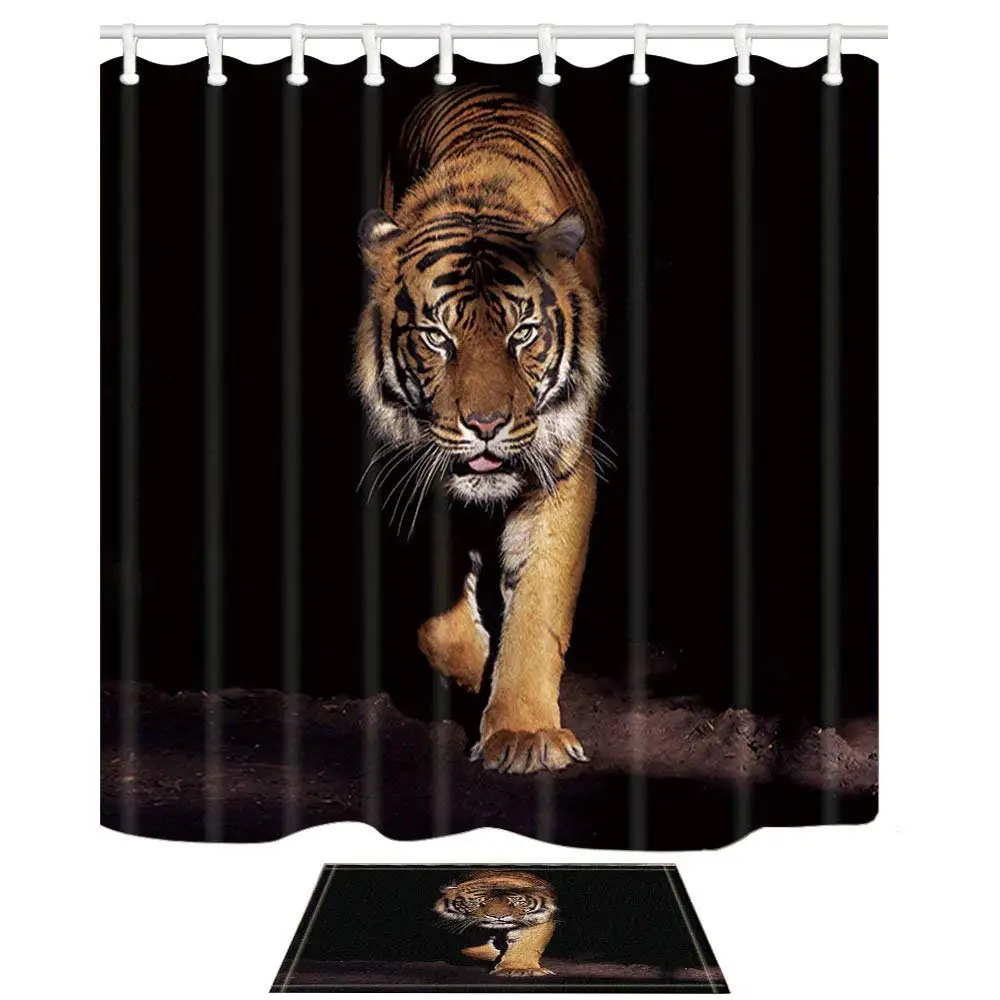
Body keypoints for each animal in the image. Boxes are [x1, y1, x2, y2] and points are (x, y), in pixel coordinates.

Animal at [354, 85, 606, 775]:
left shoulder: (563, 471)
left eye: (523, 333)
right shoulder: (409, 471)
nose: (487, 425)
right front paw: (473, 670)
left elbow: (539, 607)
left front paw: (523, 733)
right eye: (438, 337)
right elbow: (437, 623)